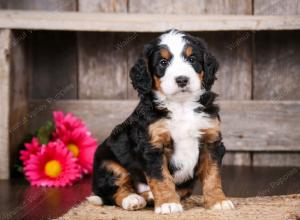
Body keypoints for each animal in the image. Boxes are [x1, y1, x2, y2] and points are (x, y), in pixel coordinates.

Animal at [89, 29, 234, 215]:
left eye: (192, 59)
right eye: (163, 62)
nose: (182, 79)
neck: (181, 105)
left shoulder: (211, 141)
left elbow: (212, 175)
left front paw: (218, 201)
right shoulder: (152, 146)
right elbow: (161, 177)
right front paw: (168, 203)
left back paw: (151, 196)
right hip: (108, 164)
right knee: (113, 192)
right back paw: (133, 199)